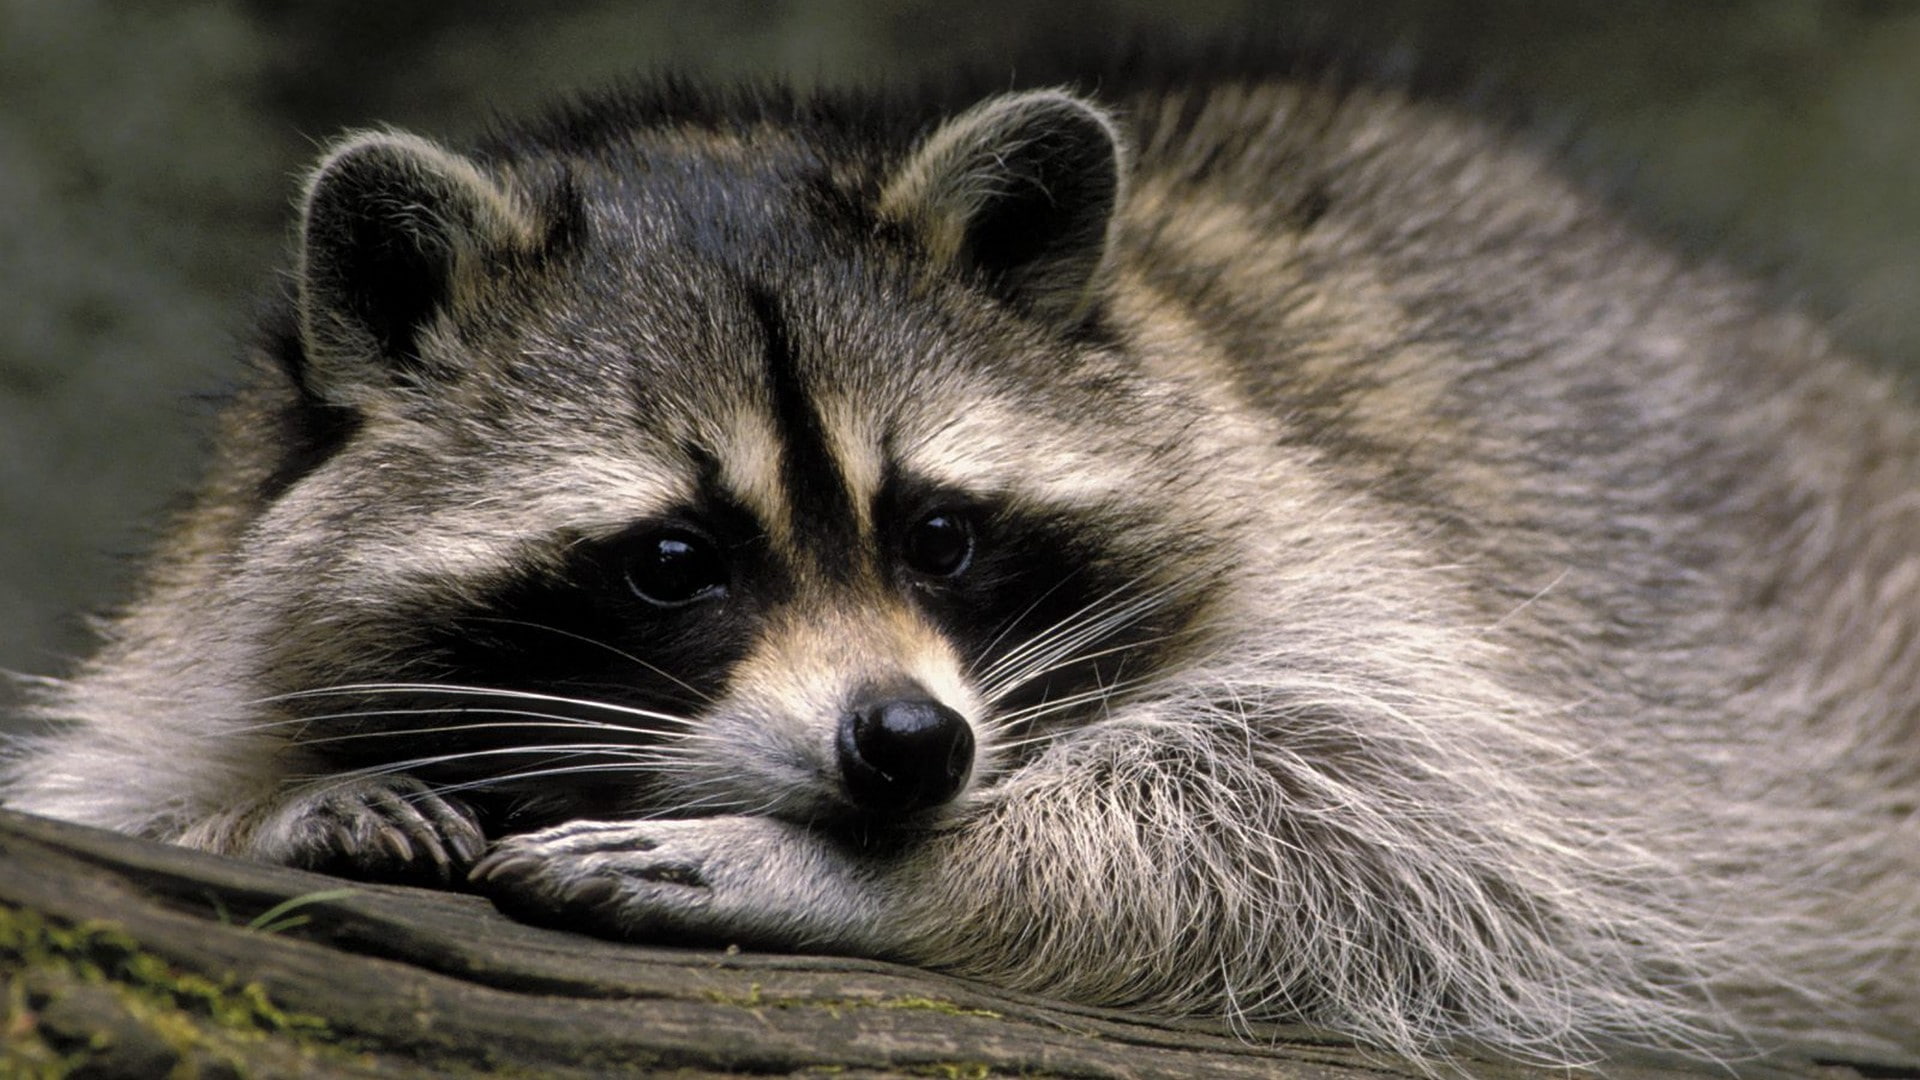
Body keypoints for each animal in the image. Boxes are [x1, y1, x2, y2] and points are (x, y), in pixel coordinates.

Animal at [4, 58, 1918, 1070]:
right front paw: (264, 808)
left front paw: (854, 870)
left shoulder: (1366, 560)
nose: (909, 749)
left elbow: (1393, 830)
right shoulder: (210, 590)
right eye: (673, 560)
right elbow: (109, 780)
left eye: (940, 532)